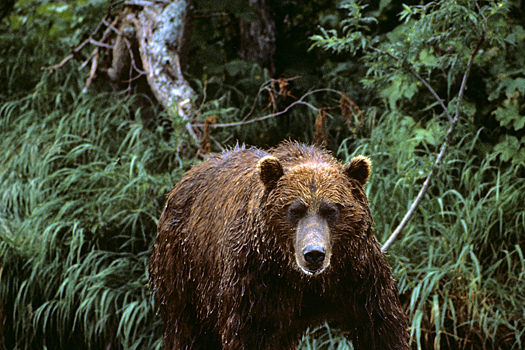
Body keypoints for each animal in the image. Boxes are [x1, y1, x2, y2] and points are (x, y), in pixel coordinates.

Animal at [147, 143, 410, 350]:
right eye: (294, 210)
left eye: (330, 210)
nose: (313, 254)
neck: (304, 280)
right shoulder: (258, 278)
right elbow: (250, 333)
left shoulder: (357, 272)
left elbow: (380, 326)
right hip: (184, 271)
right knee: (187, 330)